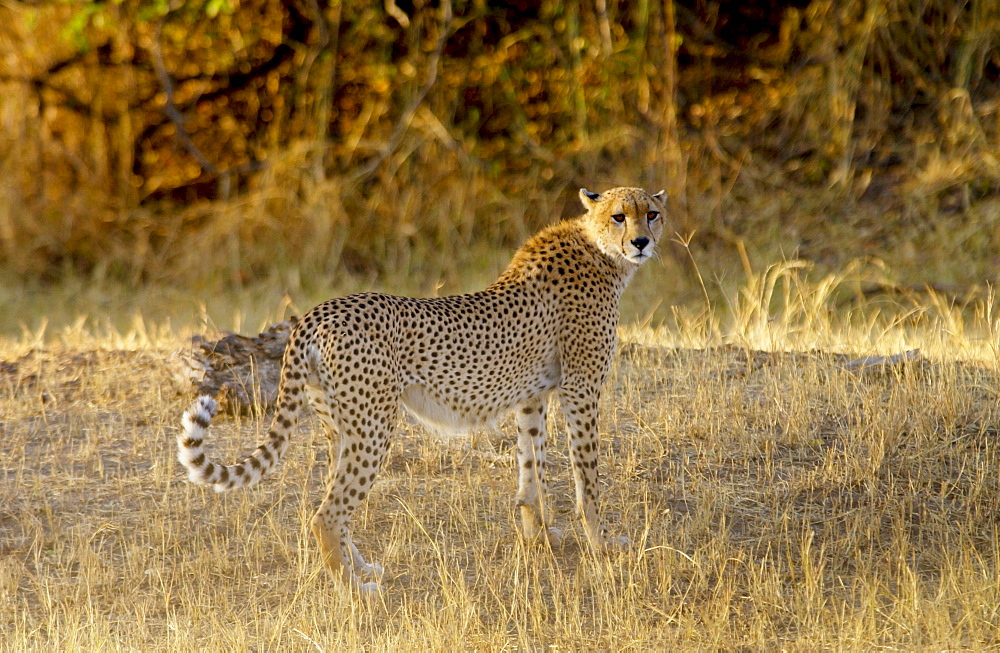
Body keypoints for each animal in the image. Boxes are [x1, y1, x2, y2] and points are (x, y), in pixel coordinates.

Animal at [180, 185, 668, 592]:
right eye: (620, 216)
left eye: (652, 214)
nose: (642, 242)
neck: (601, 252)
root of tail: (320, 310)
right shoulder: (581, 388)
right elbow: (587, 475)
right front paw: (602, 543)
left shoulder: (532, 397)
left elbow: (532, 472)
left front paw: (539, 538)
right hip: (374, 425)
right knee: (327, 515)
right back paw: (354, 589)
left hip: (342, 426)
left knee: (334, 505)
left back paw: (361, 568)